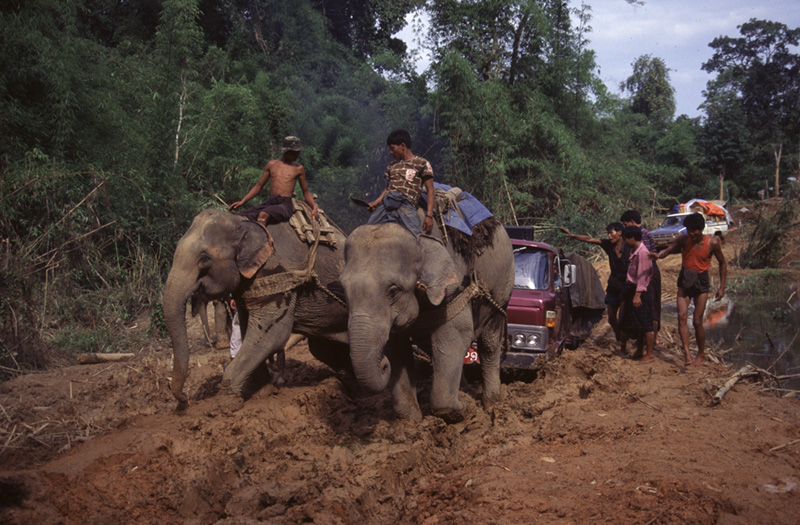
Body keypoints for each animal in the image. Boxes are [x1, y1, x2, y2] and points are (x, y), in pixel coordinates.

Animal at [163, 208, 351, 406]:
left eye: (204, 258)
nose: (185, 399)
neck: (243, 221)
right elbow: (248, 331)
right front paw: (263, 391)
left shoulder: (277, 275)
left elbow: (273, 335)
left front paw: (224, 404)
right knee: (324, 349)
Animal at [339, 216, 514, 421]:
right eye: (343, 289)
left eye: (393, 291)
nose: (382, 364)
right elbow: (396, 349)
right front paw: (413, 422)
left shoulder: (453, 290)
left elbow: (455, 335)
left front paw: (468, 405)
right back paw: (465, 390)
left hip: (503, 291)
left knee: (489, 342)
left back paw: (492, 403)